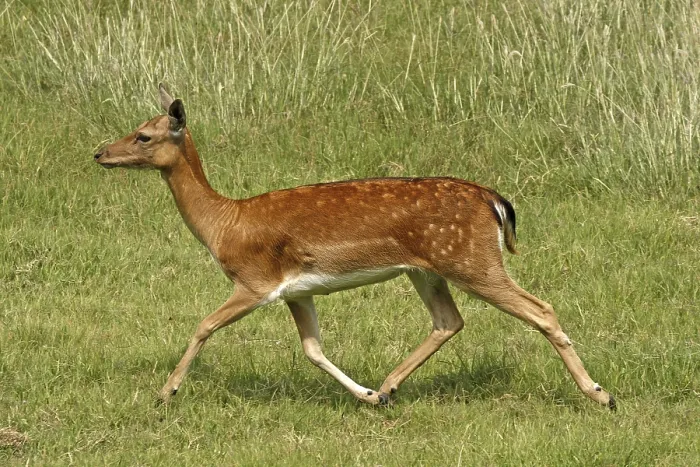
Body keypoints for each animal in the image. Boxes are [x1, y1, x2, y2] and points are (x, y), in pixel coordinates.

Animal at [93, 84, 616, 410]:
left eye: (144, 134)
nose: (100, 152)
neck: (225, 223)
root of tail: (494, 200)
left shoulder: (255, 280)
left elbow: (203, 325)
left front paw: (165, 393)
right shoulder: (297, 290)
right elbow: (312, 349)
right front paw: (364, 395)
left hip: (471, 259)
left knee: (540, 308)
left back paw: (601, 394)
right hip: (427, 269)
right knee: (449, 321)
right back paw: (386, 389)